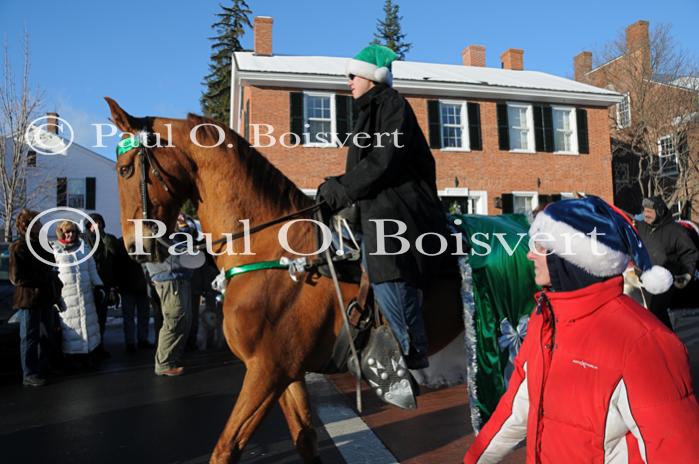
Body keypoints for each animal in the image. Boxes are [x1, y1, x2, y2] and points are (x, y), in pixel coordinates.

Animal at [105, 99, 464, 464]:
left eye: (124, 170)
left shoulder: (266, 371)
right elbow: (304, 438)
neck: (271, 246)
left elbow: (226, 448)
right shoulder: (287, 373)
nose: (135, 248)